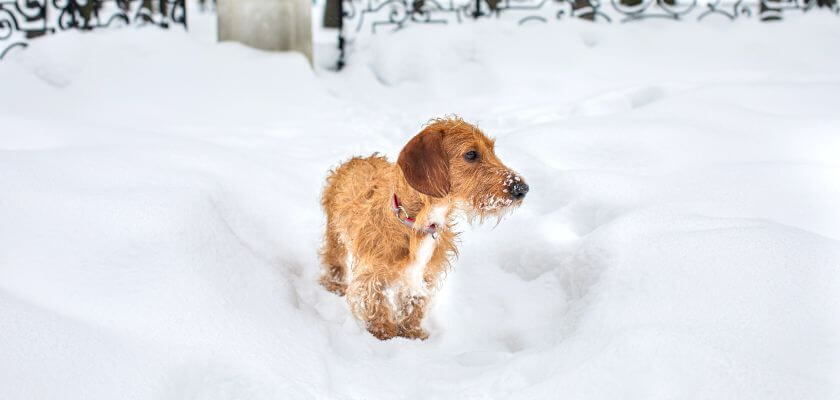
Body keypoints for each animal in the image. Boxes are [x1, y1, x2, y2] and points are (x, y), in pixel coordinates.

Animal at [318, 116, 528, 340]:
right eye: (471, 154)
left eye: (492, 150)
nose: (522, 189)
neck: (418, 223)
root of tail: (357, 159)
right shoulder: (372, 273)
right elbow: (377, 301)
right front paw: (383, 334)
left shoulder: (424, 275)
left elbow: (414, 302)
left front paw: (412, 334)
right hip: (335, 233)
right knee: (333, 258)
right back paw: (334, 284)